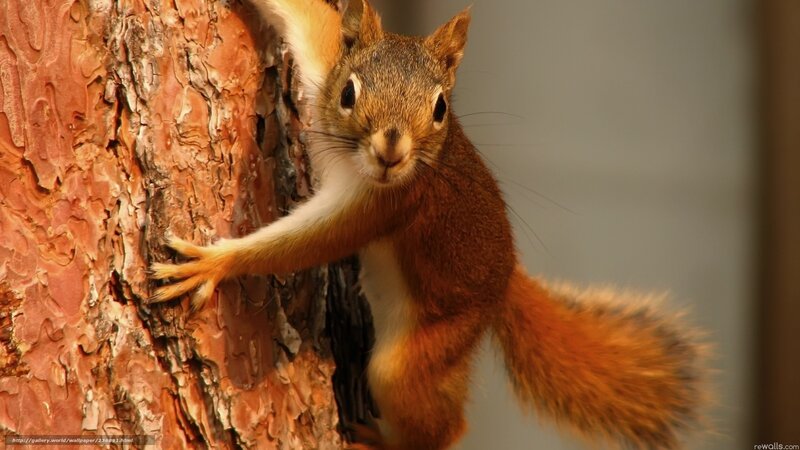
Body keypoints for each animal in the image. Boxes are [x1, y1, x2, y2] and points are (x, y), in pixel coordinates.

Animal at [150, 0, 707, 449]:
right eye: (348, 93)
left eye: (440, 107)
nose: (391, 152)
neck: (352, 161)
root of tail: (505, 281)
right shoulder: (323, 64)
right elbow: (310, 17)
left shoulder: (387, 205)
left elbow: (306, 243)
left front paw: (215, 263)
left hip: (426, 350)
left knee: (438, 424)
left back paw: (376, 440)